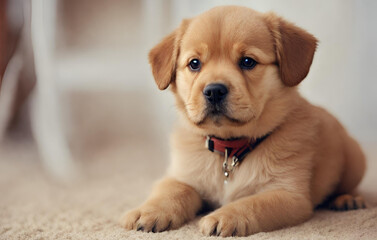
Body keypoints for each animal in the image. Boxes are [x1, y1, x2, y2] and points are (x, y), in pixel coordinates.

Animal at [119, 5, 364, 236]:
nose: (214, 91)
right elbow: (171, 191)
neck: (230, 149)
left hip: (355, 161)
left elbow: (254, 204)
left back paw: (347, 199)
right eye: (194, 63)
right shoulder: (180, 176)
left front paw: (226, 216)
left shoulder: (288, 195)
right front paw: (150, 211)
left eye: (247, 61)